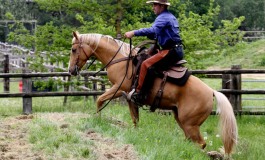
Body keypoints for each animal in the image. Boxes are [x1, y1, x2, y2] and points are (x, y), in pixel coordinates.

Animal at [68, 31, 237, 156]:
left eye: (73, 49)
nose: (71, 71)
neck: (121, 60)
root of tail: (212, 92)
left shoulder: (118, 88)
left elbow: (100, 100)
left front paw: (97, 119)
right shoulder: (129, 98)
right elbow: (135, 119)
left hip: (191, 125)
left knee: (200, 144)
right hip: (182, 120)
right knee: (193, 142)